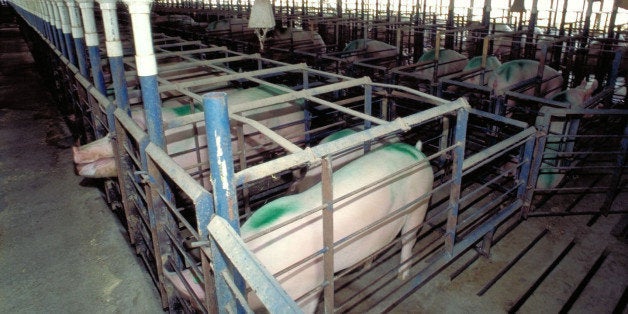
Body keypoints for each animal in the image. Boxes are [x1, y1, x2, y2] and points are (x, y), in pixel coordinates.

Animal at [164, 139, 434, 312]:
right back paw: (366, 264)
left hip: (420, 203)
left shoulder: (307, 287)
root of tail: (418, 152)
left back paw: (402, 275)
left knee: (409, 239)